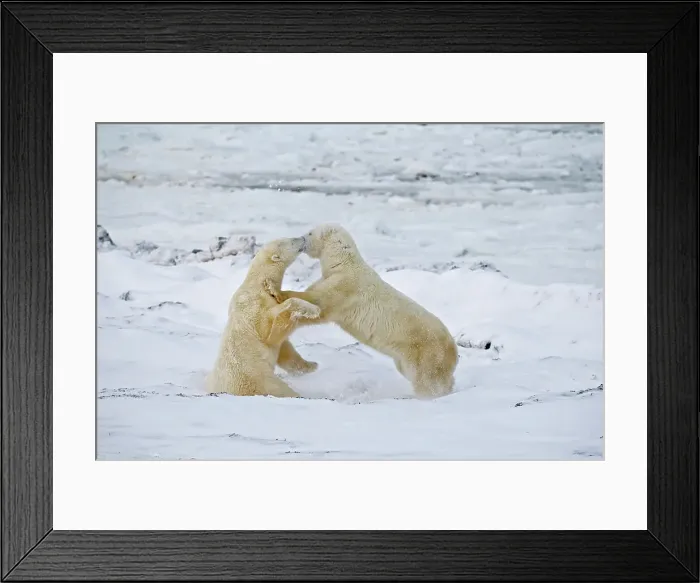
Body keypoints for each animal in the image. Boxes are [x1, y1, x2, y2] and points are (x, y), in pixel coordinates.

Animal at [206, 236, 321, 398]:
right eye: (291, 241)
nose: (303, 238)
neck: (259, 282)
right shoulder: (253, 304)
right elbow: (268, 331)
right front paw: (312, 309)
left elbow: (282, 344)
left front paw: (310, 366)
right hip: (259, 380)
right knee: (280, 390)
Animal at [279, 224, 458, 399]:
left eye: (310, 233)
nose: (301, 239)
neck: (344, 263)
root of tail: (453, 348)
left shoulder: (345, 287)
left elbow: (320, 305)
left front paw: (282, 294)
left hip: (425, 352)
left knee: (427, 381)